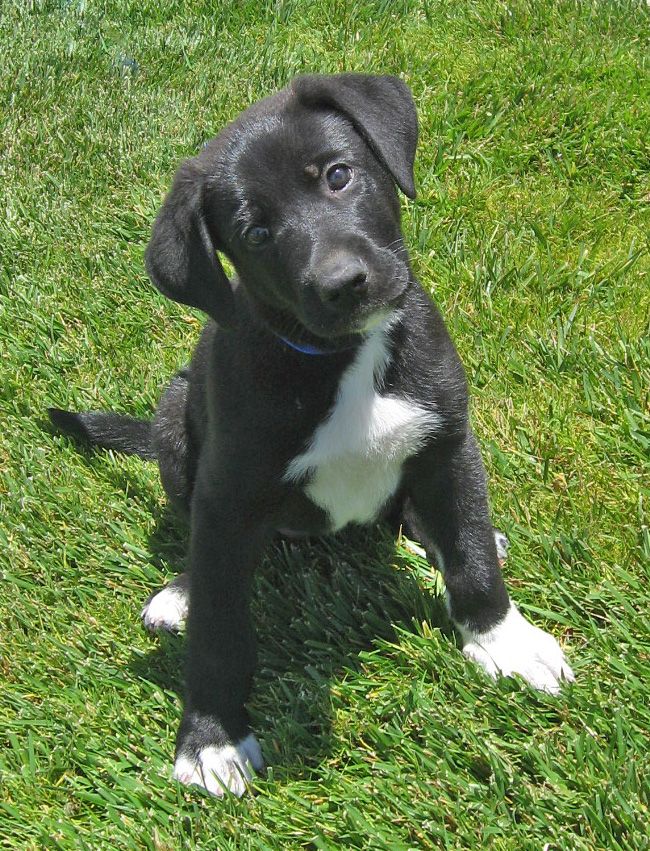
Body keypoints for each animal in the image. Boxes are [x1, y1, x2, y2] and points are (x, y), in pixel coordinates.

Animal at [48, 73, 568, 800]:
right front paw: (209, 736)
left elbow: (469, 554)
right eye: (256, 232)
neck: (343, 357)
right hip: (175, 414)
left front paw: (503, 640)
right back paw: (180, 590)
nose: (343, 283)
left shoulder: (448, 440)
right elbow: (219, 628)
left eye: (338, 175)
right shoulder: (228, 499)